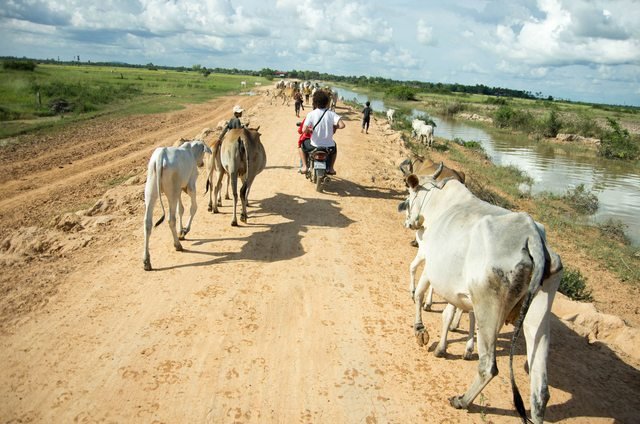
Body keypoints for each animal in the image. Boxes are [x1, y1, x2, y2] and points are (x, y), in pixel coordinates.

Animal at [141, 141, 211, 270]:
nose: (202, 163)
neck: (190, 151)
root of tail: (160, 156)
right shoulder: (190, 186)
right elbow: (193, 208)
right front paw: (185, 230)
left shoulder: (179, 190)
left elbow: (181, 210)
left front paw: (181, 230)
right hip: (172, 192)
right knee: (171, 219)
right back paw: (177, 245)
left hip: (151, 191)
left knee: (148, 223)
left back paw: (146, 261)